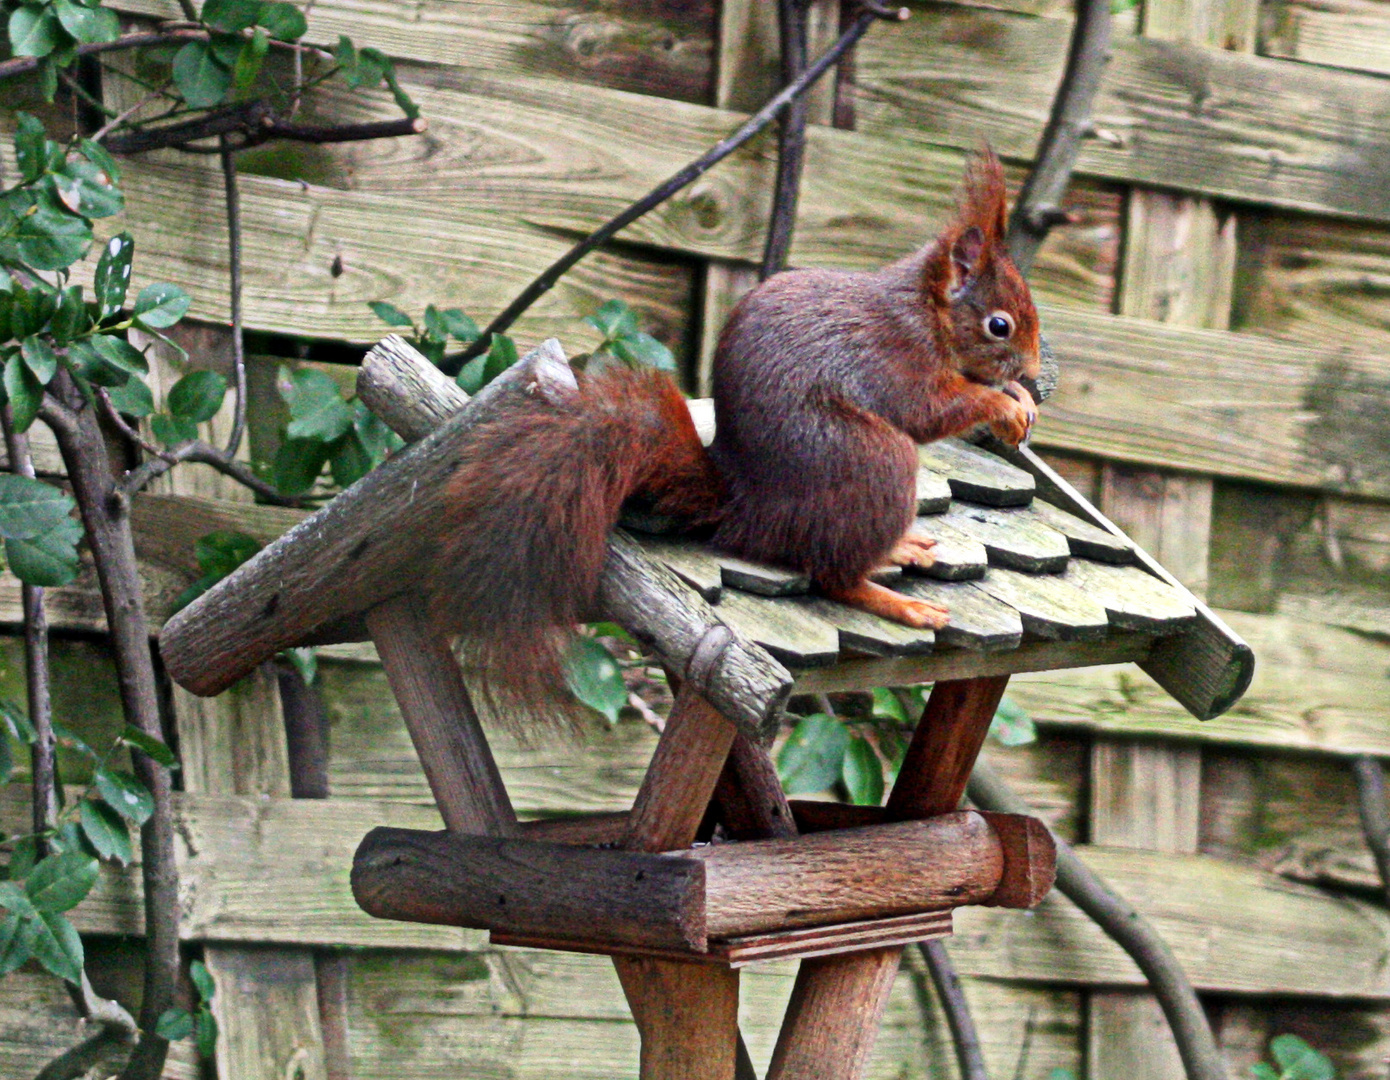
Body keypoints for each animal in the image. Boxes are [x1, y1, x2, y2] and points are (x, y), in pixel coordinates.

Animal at [428, 149, 1039, 722]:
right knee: (832, 577)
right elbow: (929, 410)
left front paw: (1021, 399)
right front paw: (1001, 404)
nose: (1032, 367)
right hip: (874, 460)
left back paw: (901, 547)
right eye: (999, 325)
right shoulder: (896, 359)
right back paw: (897, 601)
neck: (927, 312)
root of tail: (748, 511)